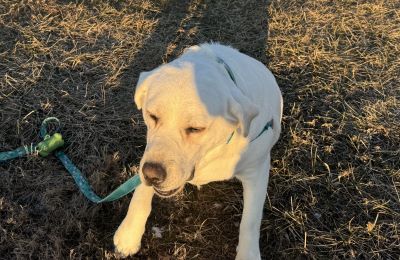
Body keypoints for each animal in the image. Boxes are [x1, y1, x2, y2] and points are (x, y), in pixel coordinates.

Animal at [112, 42, 282, 258]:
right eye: (152, 116)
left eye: (195, 129)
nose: (152, 175)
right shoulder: (150, 151)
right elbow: (140, 190)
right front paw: (129, 233)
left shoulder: (257, 170)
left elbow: (250, 221)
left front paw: (248, 255)